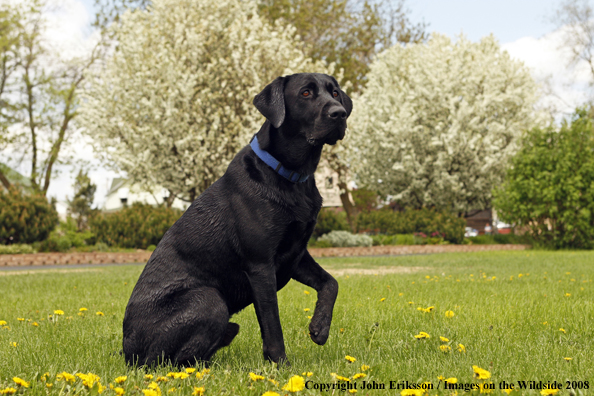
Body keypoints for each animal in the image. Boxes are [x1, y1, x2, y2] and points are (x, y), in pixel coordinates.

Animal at [122, 72, 350, 366]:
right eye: (306, 93)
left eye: (335, 93)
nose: (340, 113)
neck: (291, 176)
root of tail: (126, 351)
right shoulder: (261, 265)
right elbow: (272, 324)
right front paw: (281, 365)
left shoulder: (296, 254)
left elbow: (331, 283)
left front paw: (319, 328)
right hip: (208, 299)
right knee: (166, 361)